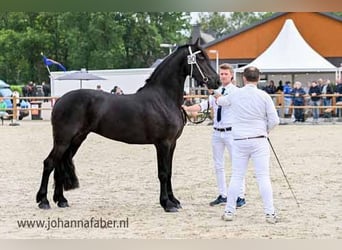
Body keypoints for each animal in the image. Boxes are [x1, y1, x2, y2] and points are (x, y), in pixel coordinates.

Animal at [36, 40, 219, 212]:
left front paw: (174, 201)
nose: (216, 81)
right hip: (63, 140)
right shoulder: (163, 144)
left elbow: (170, 172)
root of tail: (60, 101)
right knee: (49, 163)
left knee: (59, 166)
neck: (163, 98)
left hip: (76, 140)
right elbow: (163, 173)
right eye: (200, 58)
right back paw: (43, 201)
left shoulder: (172, 144)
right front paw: (167, 204)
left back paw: (61, 200)